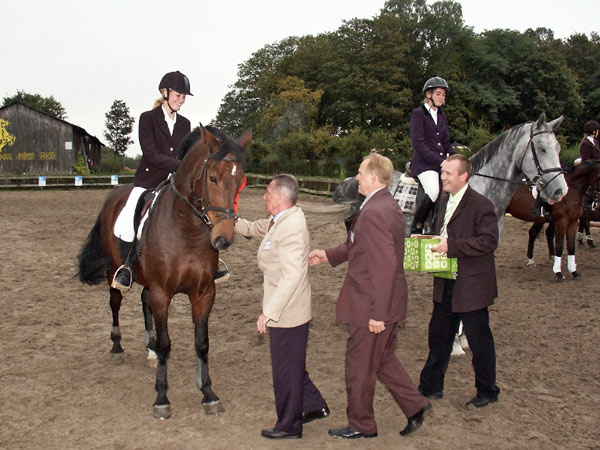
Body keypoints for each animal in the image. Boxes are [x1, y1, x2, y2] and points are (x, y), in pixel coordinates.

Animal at [77, 124, 251, 418]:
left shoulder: (204, 293)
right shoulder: (163, 293)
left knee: (143, 300)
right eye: (213, 178)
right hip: (115, 271)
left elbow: (202, 342)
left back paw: (148, 350)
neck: (187, 229)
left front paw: (208, 393)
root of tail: (114, 194)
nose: (224, 239)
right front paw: (161, 398)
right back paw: (117, 346)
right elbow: (165, 343)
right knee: (115, 302)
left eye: (241, 181)